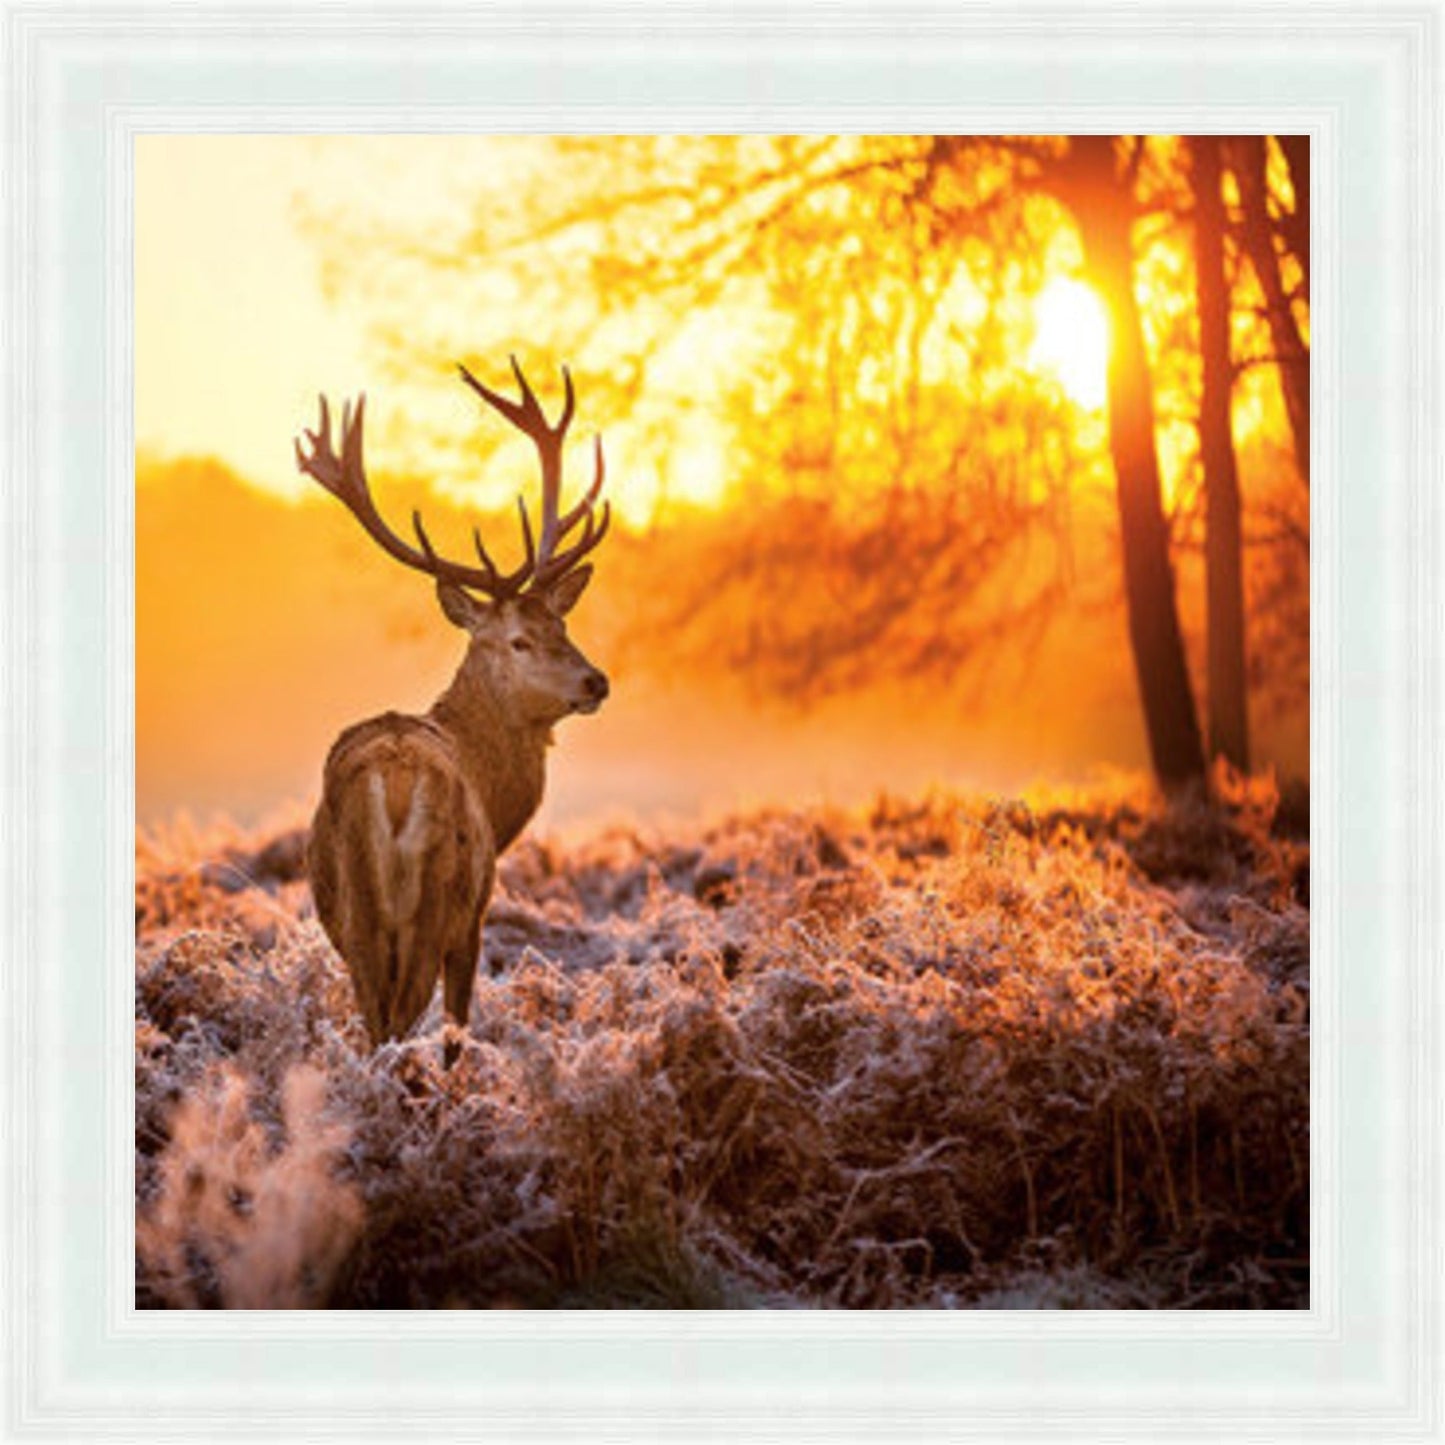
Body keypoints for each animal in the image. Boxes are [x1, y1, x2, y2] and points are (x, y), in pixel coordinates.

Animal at [296, 357, 611, 1064]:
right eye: (518, 639)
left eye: (562, 623)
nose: (596, 681)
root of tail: (393, 783)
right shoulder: (475, 916)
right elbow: (458, 1030)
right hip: (433, 907)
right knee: (402, 1032)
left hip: (357, 918)